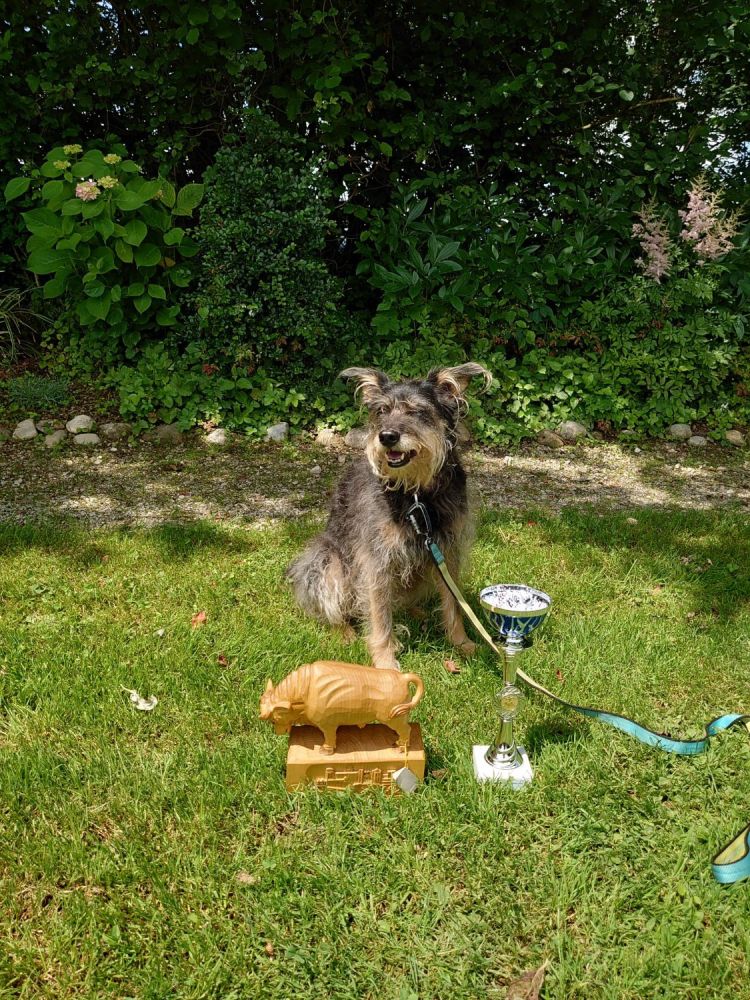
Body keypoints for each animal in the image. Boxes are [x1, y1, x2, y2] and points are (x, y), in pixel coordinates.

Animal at [286, 363, 491, 670]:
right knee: (336, 606)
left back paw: (417, 612)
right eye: (382, 410)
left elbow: (453, 604)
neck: (415, 495)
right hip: (326, 560)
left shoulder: (447, 550)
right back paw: (344, 632)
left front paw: (461, 643)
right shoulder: (376, 560)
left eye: (416, 411)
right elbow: (380, 616)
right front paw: (385, 663)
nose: (387, 436)